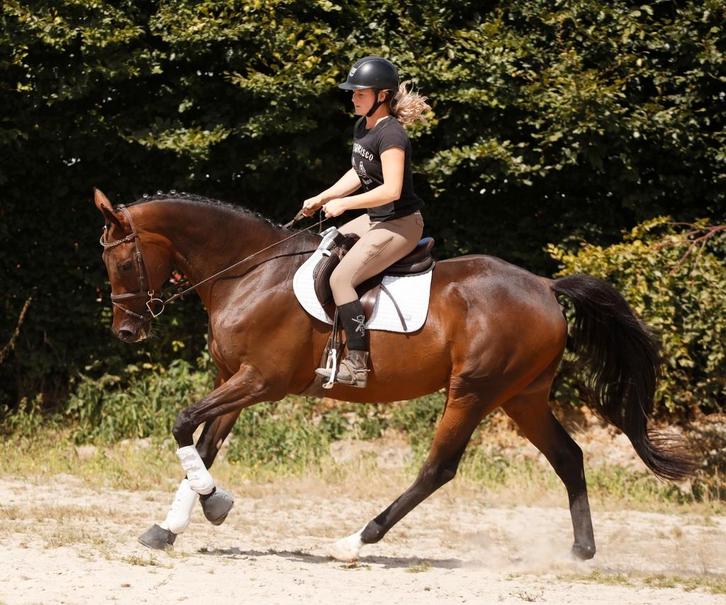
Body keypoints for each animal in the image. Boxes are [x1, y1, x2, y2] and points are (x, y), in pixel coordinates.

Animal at [93, 188, 694, 561]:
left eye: (122, 262)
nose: (126, 333)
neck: (250, 274)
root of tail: (545, 286)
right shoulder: (234, 381)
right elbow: (203, 445)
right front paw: (169, 528)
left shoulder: (261, 381)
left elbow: (181, 423)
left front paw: (215, 505)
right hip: (521, 397)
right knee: (568, 457)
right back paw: (580, 551)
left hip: (472, 392)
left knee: (439, 469)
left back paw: (355, 541)